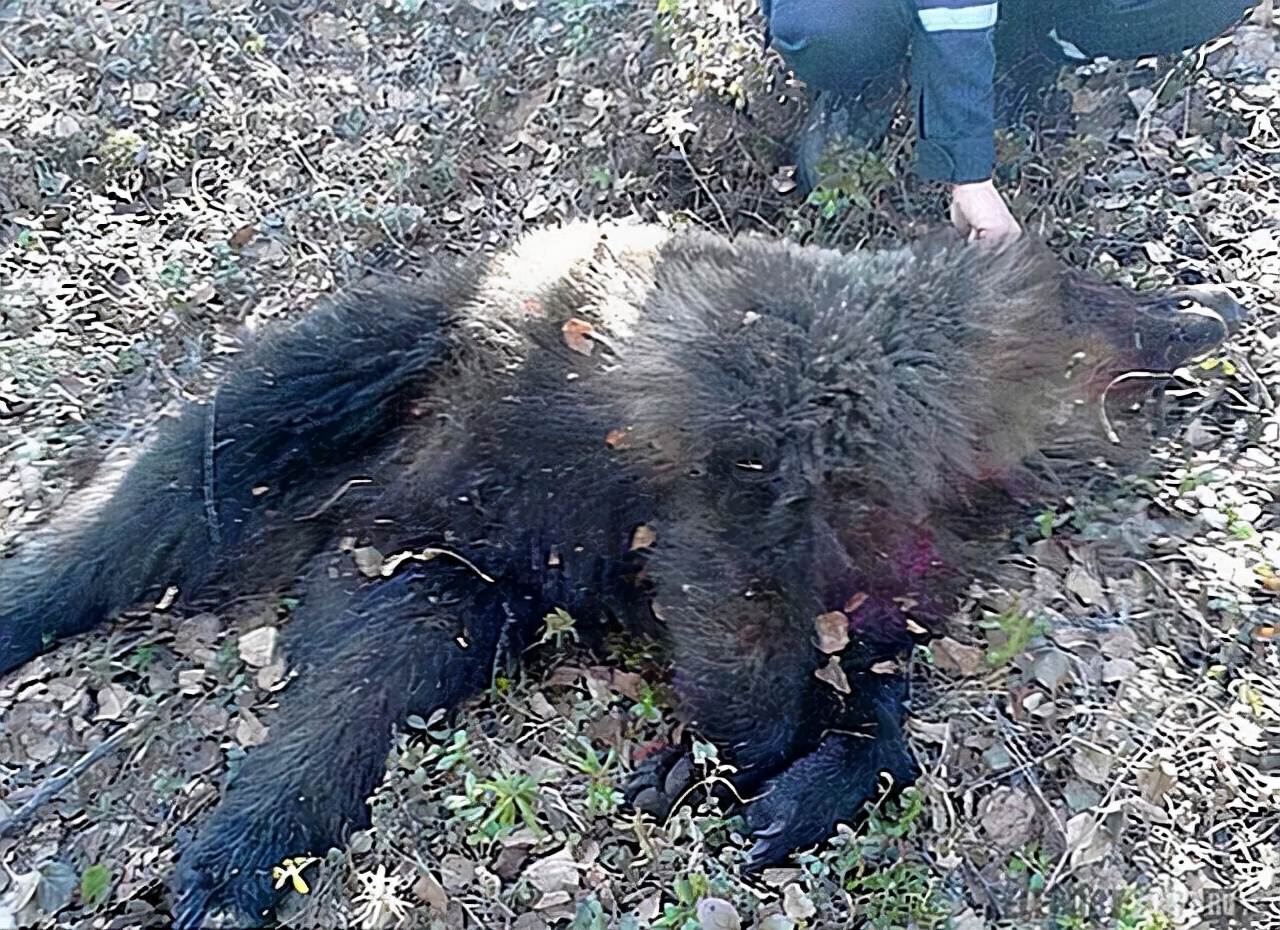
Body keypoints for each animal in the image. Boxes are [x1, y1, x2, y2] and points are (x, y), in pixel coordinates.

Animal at [0, 223, 1245, 927]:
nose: (1219, 308)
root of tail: (364, 511)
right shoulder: (765, 448)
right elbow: (732, 595)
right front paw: (730, 759)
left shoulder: (895, 554)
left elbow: (879, 675)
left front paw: (807, 777)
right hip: (381, 363)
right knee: (185, 478)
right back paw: (40, 596)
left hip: (442, 575)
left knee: (366, 684)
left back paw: (246, 850)